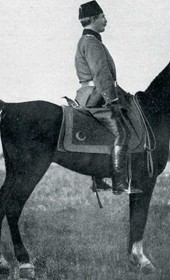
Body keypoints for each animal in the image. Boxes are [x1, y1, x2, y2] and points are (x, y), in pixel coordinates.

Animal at [0, 61, 169, 278]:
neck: (153, 114)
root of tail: (10, 107)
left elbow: (134, 221)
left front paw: (133, 260)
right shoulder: (146, 181)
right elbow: (140, 220)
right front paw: (142, 261)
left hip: (14, 171)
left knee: (1, 203)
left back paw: (3, 262)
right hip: (31, 171)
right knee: (13, 207)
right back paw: (25, 263)